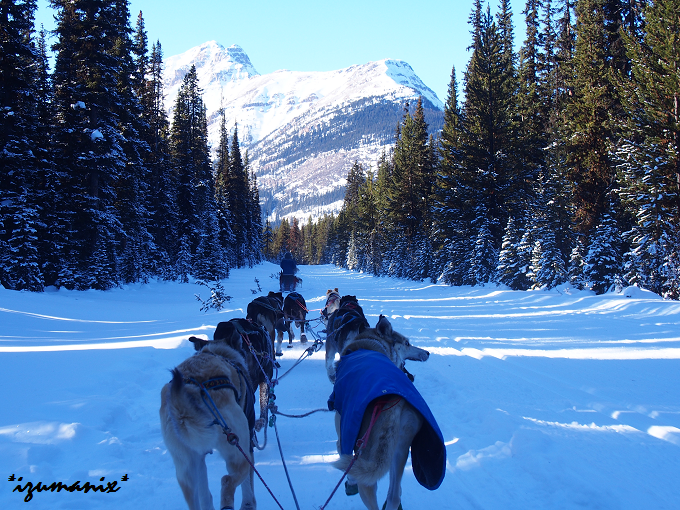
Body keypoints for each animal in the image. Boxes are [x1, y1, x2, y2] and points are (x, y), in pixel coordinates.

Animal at [160, 335, 257, 510]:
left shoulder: (199, 458)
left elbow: (205, 495)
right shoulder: (248, 446)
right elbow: (248, 487)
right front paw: (249, 504)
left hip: (186, 468)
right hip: (237, 451)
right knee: (227, 481)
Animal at [327, 315, 445, 510]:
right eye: (407, 343)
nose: (427, 352)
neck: (369, 343)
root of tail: (392, 400)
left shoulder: (342, 435)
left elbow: (343, 456)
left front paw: (350, 482)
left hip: (367, 462)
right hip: (399, 452)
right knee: (393, 496)